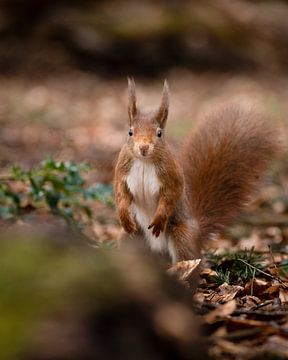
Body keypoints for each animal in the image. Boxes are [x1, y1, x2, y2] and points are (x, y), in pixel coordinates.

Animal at [114, 79, 280, 264]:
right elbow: (121, 193)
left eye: (159, 133)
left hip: (181, 235)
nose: (143, 148)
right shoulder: (122, 171)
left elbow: (171, 194)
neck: (144, 161)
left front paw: (159, 219)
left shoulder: (172, 174)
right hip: (131, 238)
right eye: (130, 132)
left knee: (189, 259)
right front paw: (123, 215)